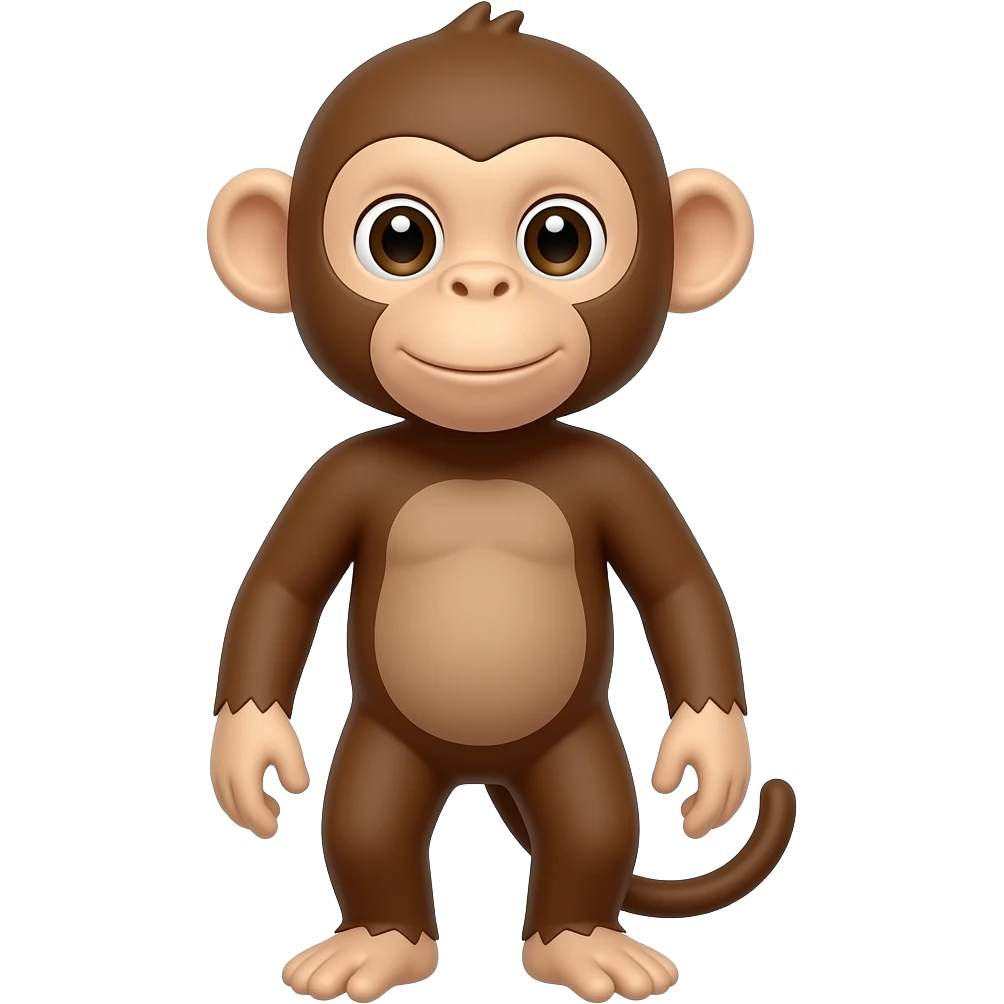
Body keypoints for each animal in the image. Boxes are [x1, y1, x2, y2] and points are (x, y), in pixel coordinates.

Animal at [206, 4, 795, 1002]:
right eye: (400, 239)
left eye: (559, 239)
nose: (481, 285)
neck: (480, 450)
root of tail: (482, 770)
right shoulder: (339, 475)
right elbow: (279, 590)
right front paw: (250, 757)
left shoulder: (620, 474)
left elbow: (680, 589)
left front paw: (708, 758)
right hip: (386, 742)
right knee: (365, 820)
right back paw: (381, 941)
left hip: (575, 742)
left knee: (593, 821)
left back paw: (580, 940)